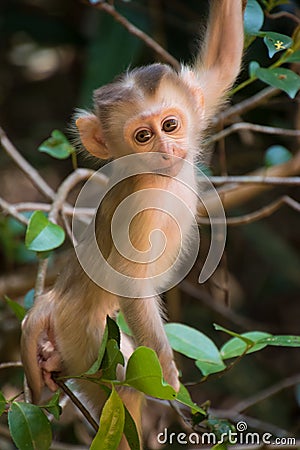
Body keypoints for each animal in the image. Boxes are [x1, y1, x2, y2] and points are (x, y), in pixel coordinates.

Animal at [21, 1, 246, 448]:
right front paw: (170, 378)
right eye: (143, 136)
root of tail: (52, 298)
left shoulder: (197, 100)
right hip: (86, 343)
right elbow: (130, 285)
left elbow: (225, 59)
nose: (166, 148)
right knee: (122, 396)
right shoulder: (139, 209)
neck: (158, 177)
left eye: (171, 125)